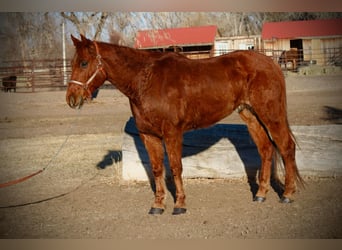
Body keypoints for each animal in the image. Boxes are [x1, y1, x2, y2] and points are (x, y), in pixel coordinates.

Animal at [65, 34, 304, 215]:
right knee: (266, 150)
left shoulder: (172, 133)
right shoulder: (148, 135)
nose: (71, 99)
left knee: (286, 147)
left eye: (84, 63)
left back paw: (287, 194)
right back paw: (261, 194)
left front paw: (179, 205)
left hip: (270, 115)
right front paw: (158, 205)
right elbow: (157, 169)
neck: (147, 80)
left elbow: (176, 167)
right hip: (250, 115)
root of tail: (271, 63)